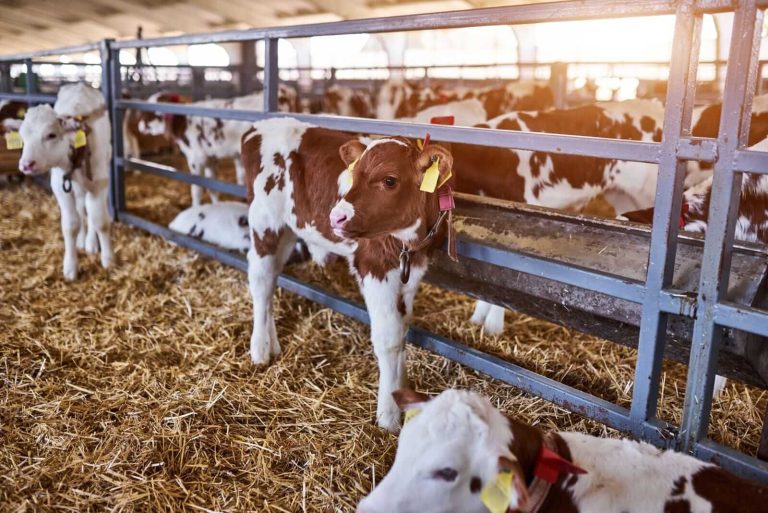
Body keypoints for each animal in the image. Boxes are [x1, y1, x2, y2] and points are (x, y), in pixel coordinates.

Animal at [14, 83, 112, 281]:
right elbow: (70, 225)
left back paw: (91, 242)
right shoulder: (60, 186)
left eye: (51, 135)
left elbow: (100, 221)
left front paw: (108, 260)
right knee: (81, 209)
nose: (26, 164)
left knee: (89, 209)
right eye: (22, 136)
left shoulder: (99, 183)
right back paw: (82, 240)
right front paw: (70, 267)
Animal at [242, 117, 455, 431]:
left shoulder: (412, 272)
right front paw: (389, 414)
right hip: (264, 222)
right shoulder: (374, 266)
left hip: (289, 228)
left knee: (271, 279)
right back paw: (259, 349)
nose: (336, 217)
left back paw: (272, 344)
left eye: (389, 180)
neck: (409, 244)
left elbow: (402, 328)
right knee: (260, 279)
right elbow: (389, 338)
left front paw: (401, 390)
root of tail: (260, 125)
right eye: (354, 175)